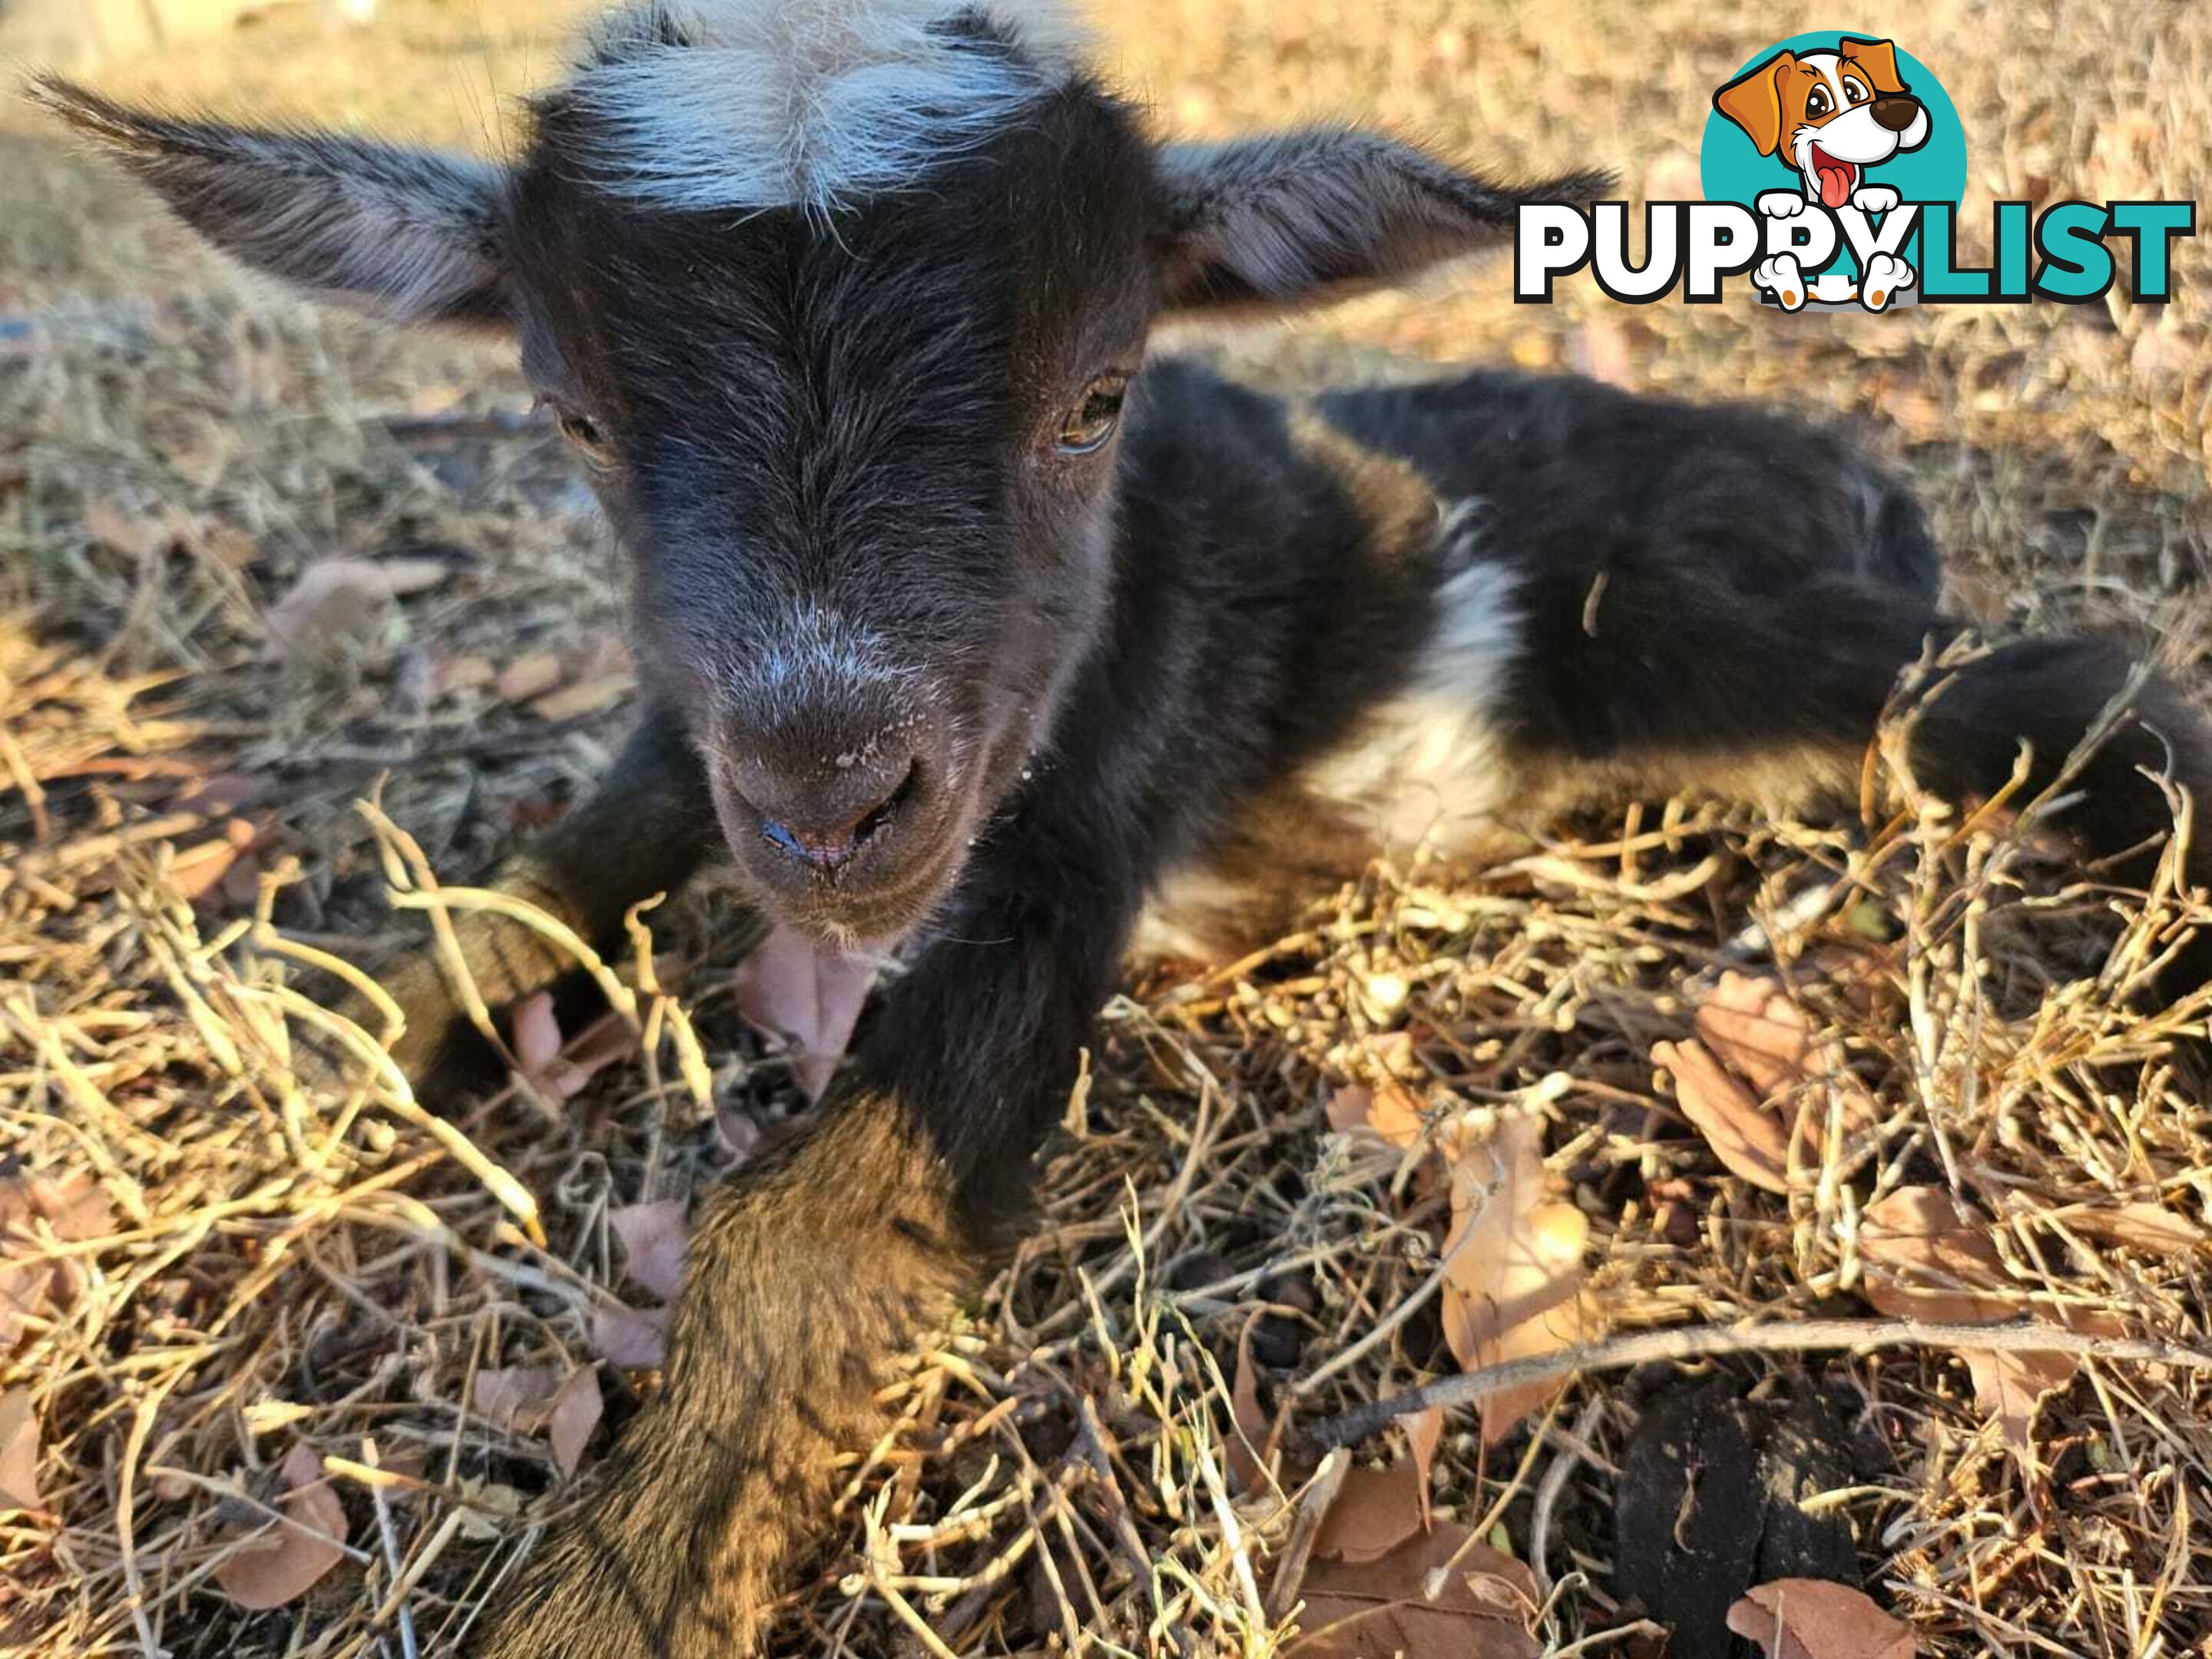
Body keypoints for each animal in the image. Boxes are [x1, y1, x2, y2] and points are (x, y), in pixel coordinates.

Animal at [38, 0, 2212, 1654]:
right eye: (574, 421)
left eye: (1093, 396)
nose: (836, 806)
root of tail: (1833, 464)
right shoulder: (696, 742)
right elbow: (528, 897)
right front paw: (322, 1049)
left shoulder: (1070, 832)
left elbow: (809, 1229)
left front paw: (609, 1598)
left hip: (1721, 648)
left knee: (2040, 687)